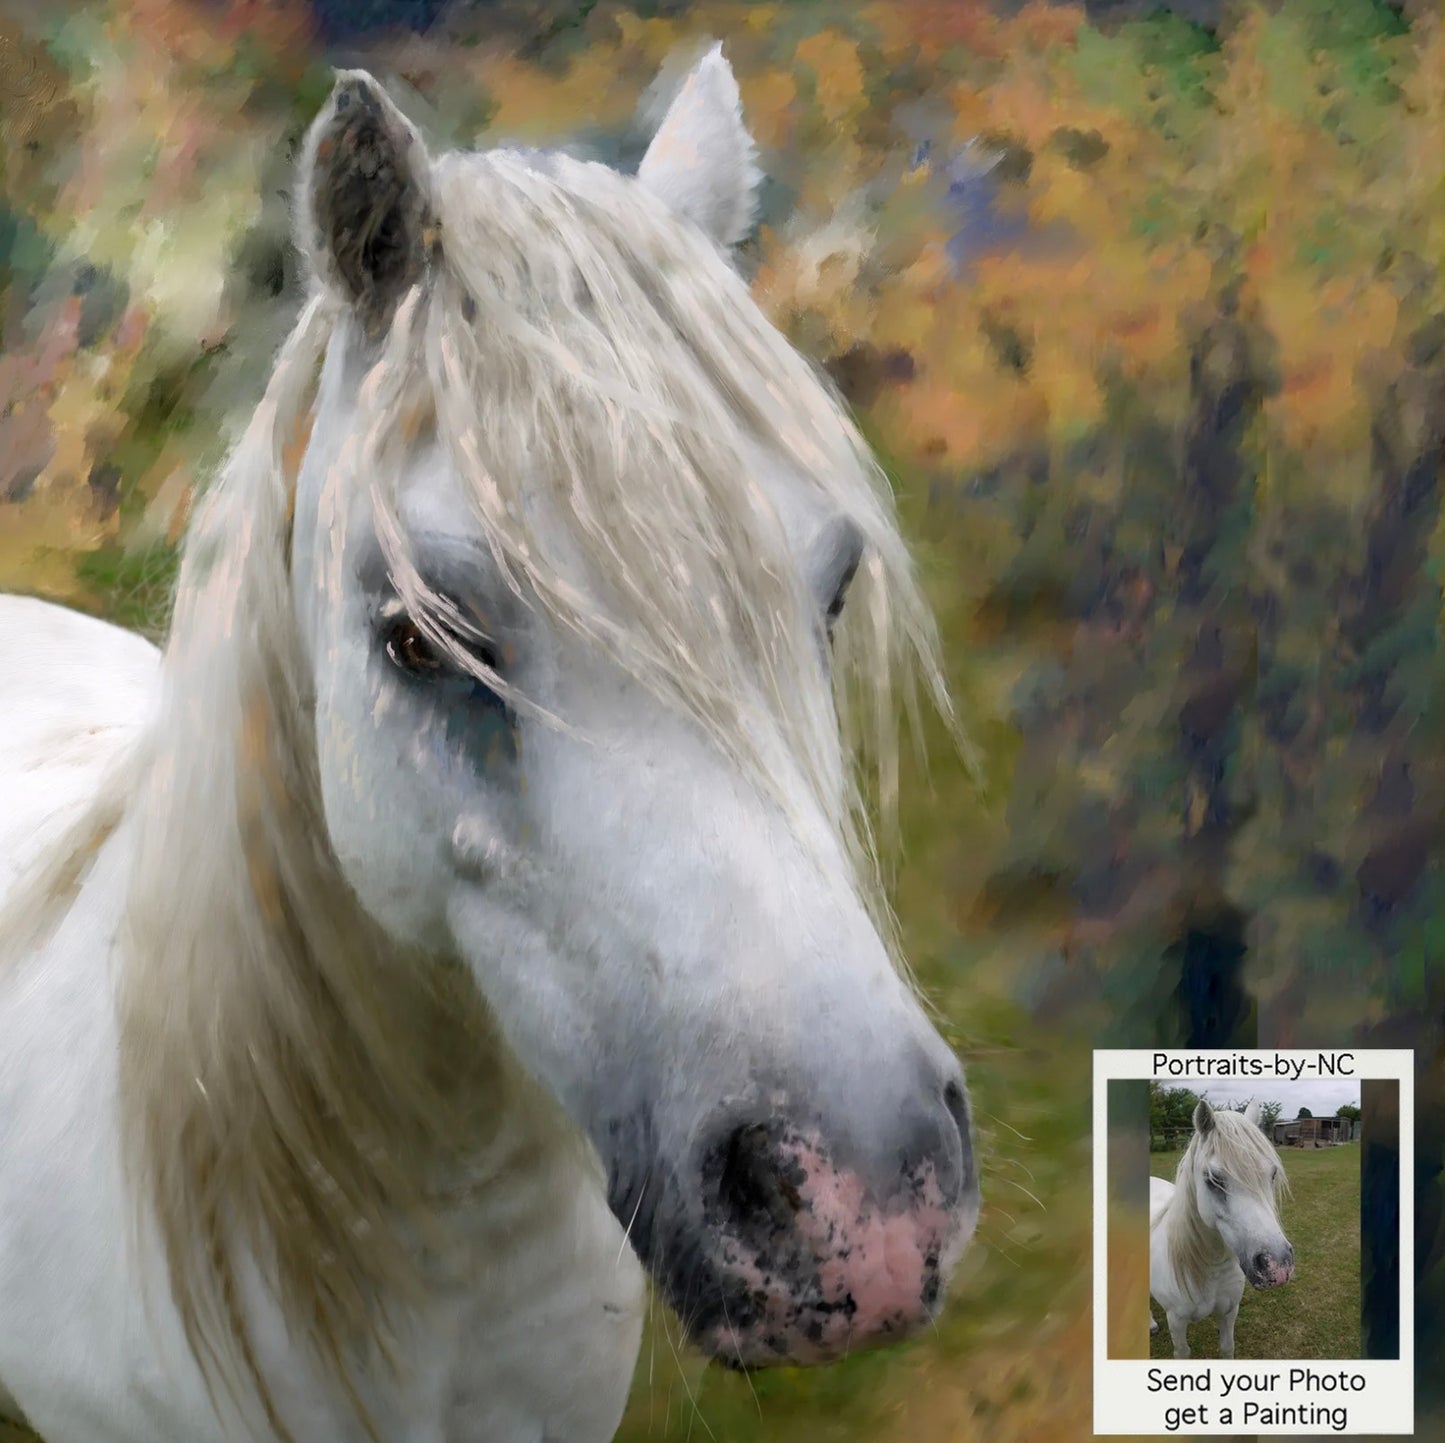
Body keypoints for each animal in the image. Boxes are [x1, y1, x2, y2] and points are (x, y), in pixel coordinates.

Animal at [1149, 1100, 1294, 1359]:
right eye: (1214, 1180)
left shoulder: (1228, 1312)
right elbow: (1182, 1352)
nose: (1277, 1265)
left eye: (1273, 1174)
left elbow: (1227, 1347)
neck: (1211, 1267)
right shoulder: (1176, 1321)